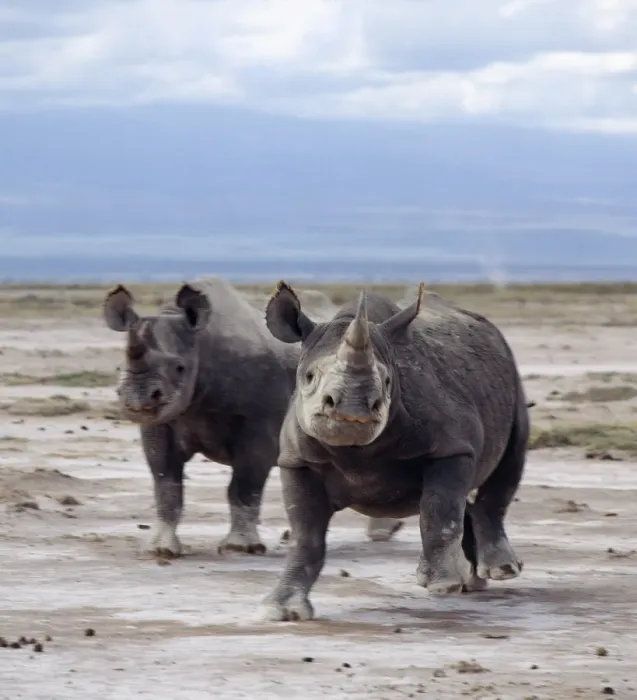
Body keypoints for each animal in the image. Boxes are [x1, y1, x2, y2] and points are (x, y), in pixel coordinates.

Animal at [102, 278, 402, 558]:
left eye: (179, 367)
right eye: (121, 364)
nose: (137, 398)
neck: (201, 345)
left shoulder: (258, 426)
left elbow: (244, 485)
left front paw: (240, 548)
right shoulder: (163, 422)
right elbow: (166, 482)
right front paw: (160, 550)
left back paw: (381, 534)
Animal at [258, 281, 529, 621]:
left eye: (387, 381)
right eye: (309, 377)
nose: (353, 409)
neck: (354, 452)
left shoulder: (452, 447)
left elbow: (438, 509)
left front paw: (443, 584)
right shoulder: (297, 460)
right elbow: (305, 536)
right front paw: (282, 611)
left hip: (512, 376)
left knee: (508, 463)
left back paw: (500, 571)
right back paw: (472, 582)